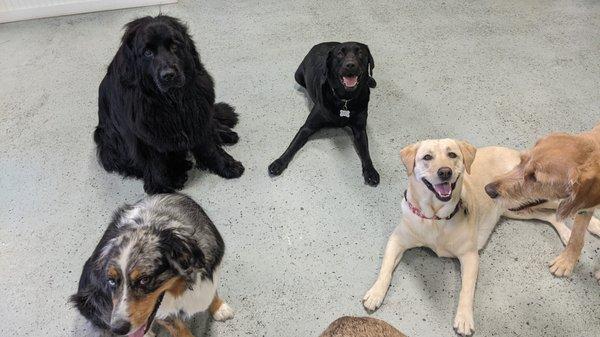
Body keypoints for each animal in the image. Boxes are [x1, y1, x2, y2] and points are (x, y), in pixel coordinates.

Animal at [94, 15, 244, 193]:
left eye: (174, 46)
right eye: (148, 52)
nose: (169, 75)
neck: (171, 99)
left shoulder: (196, 115)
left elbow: (209, 146)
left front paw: (226, 165)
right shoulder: (144, 135)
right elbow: (155, 163)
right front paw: (161, 189)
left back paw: (225, 134)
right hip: (107, 142)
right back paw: (179, 170)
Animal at [268, 41, 378, 186]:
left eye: (360, 53)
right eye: (340, 54)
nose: (350, 65)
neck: (345, 99)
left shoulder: (360, 129)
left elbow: (366, 152)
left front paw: (371, 171)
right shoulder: (307, 127)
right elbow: (293, 145)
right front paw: (279, 162)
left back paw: (371, 80)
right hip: (297, 76)